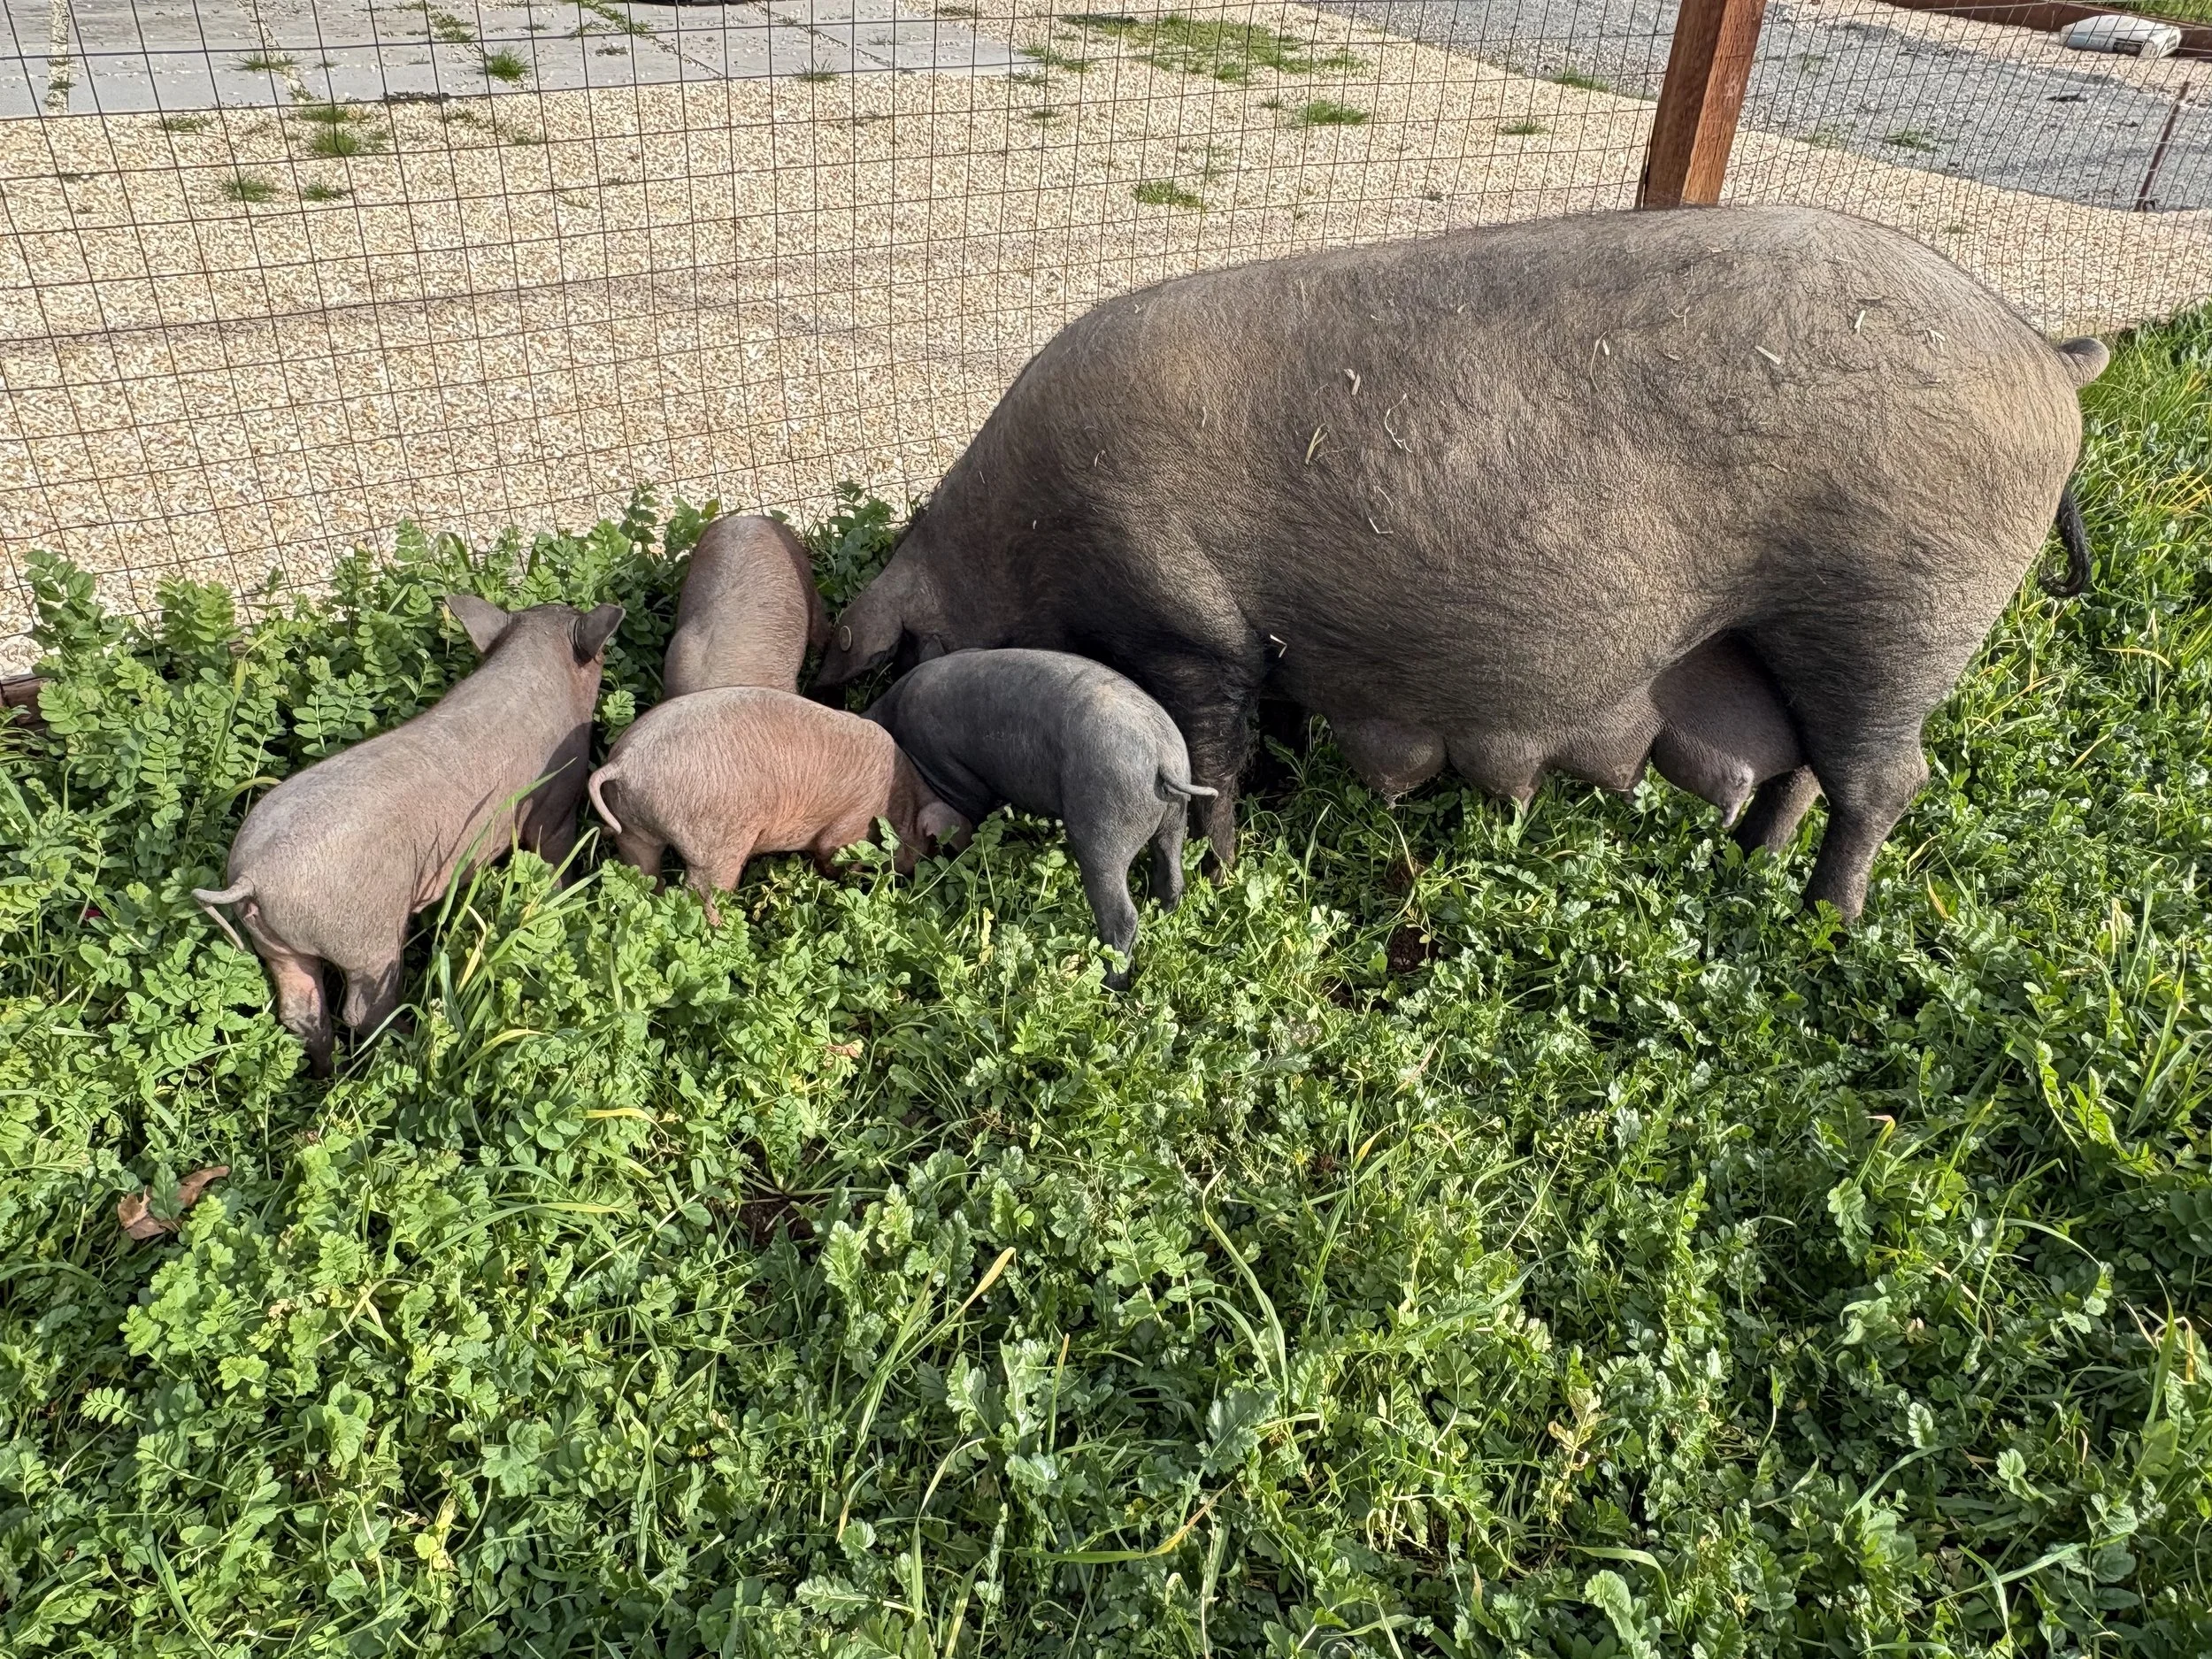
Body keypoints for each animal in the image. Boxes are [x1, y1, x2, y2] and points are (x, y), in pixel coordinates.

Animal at [195, 596, 624, 1075]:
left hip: (276, 946)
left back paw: (329, 1074)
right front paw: (568, 899)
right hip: (368, 936)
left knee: (300, 1012)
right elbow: (555, 859)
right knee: (363, 1009)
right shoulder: (557, 802)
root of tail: (251, 877)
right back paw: (407, 1045)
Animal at [585, 687, 963, 924]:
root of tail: (624, 763)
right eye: (928, 845)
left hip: (632, 828)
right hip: (716, 841)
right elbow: (832, 854)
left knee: (642, 873)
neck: (898, 803)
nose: (912, 875)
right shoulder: (850, 827)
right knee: (701, 892)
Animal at [812, 204, 2109, 921]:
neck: (1018, 539)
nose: (907, 839)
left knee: (1886, 781)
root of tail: (2048, 354)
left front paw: (1223, 873)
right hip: (1799, 641)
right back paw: (1750, 867)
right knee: (1803, 769)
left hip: (1899, 612)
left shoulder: (1192, 627)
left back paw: (1823, 924)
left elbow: (1213, 752)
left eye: (904, 662)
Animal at [864, 648, 1215, 988]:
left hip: (1104, 824)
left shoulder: (950, 773)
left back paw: (1110, 985)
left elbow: (971, 812)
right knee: (1171, 875)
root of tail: (1161, 757)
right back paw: (1161, 918)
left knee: (1121, 913)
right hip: (1174, 817)